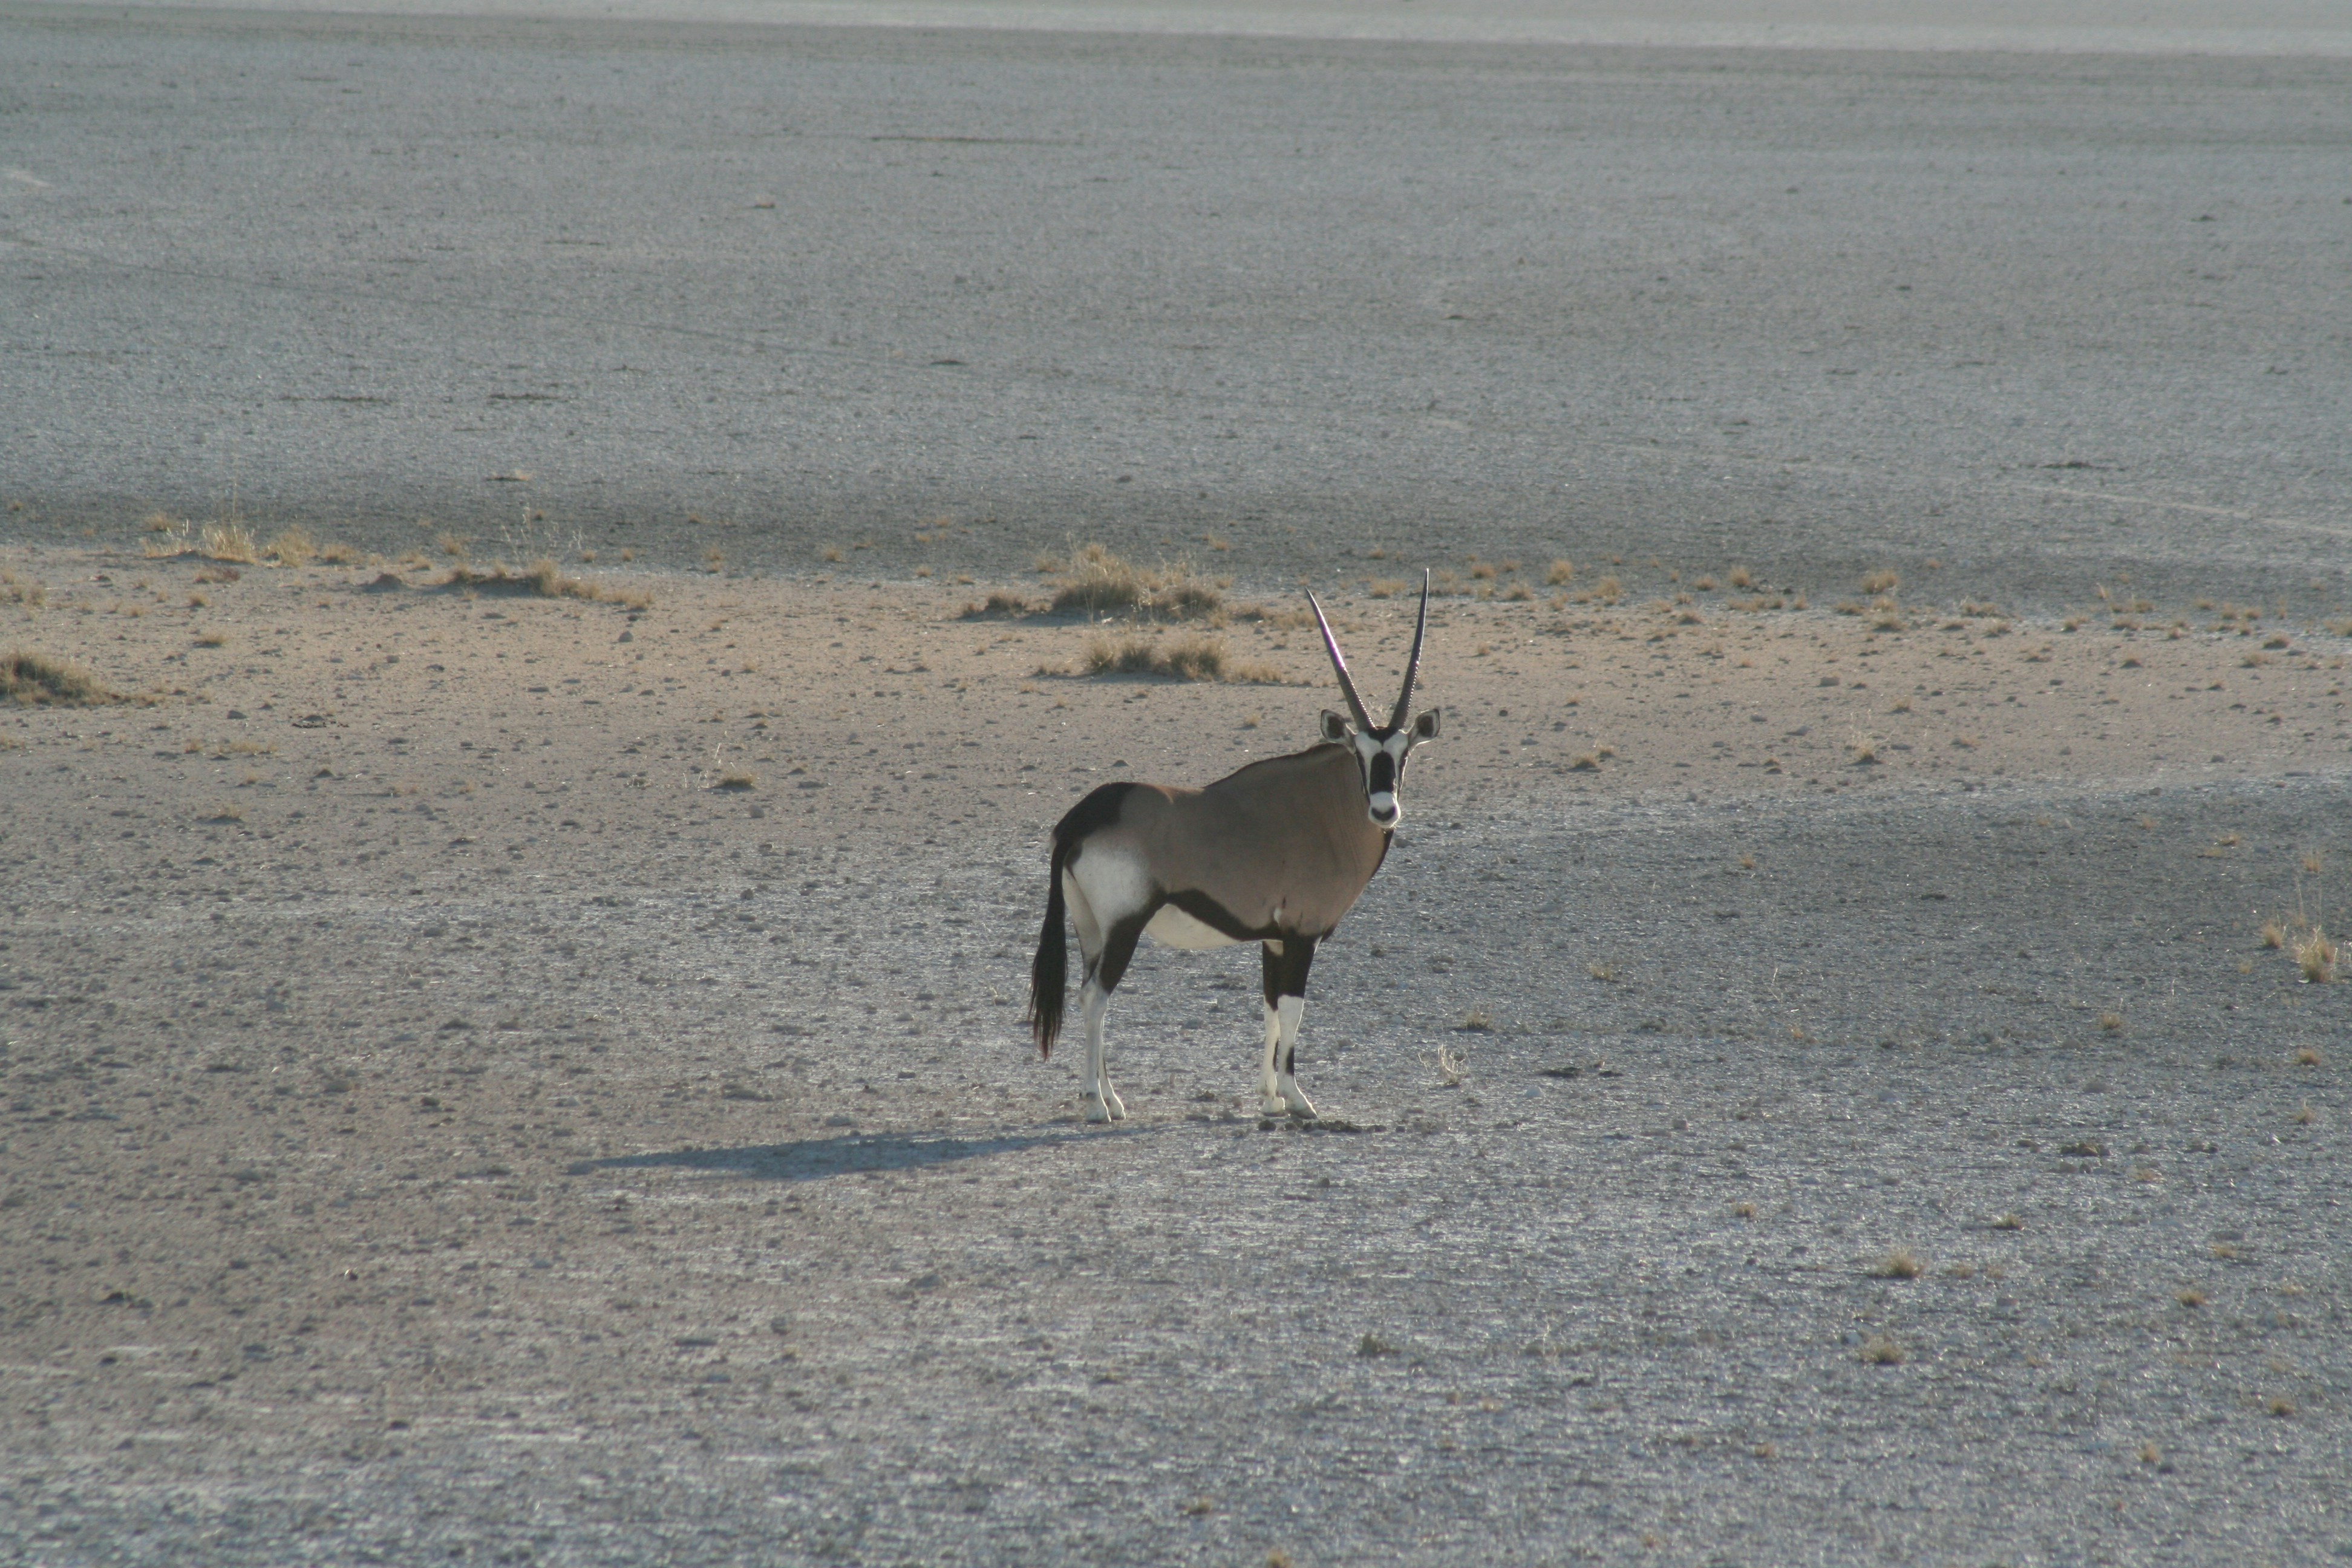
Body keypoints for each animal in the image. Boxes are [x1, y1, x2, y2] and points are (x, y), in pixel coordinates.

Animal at [1026, 575, 1440, 1123]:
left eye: (1403, 753)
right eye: (1359, 754)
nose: (1384, 809)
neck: (1324, 810)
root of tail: (1083, 818)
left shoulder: (1274, 937)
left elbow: (1269, 1008)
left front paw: (1268, 1098)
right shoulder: (1302, 934)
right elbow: (1293, 1008)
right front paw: (1296, 1097)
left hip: (1091, 928)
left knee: (1085, 994)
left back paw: (1112, 1097)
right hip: (1124, 927)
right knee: (1096, 997)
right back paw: (1096, 1104)